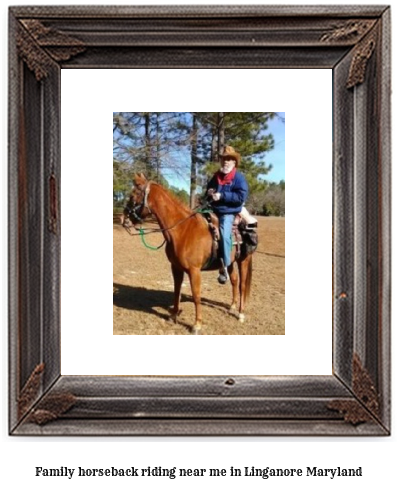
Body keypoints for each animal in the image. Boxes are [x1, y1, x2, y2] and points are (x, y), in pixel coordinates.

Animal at [123, 173, 255, 334]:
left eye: (133, 195)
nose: (123, 219)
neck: (183, 230)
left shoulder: (194, 271)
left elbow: (196, 295)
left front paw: (197, 324)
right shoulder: (176, 267)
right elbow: (176, 290)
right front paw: (173, 315)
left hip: (244, 260)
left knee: (242, 285)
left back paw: (241, 313)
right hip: (230, 262)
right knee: (234, 281)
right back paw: (232, 306)